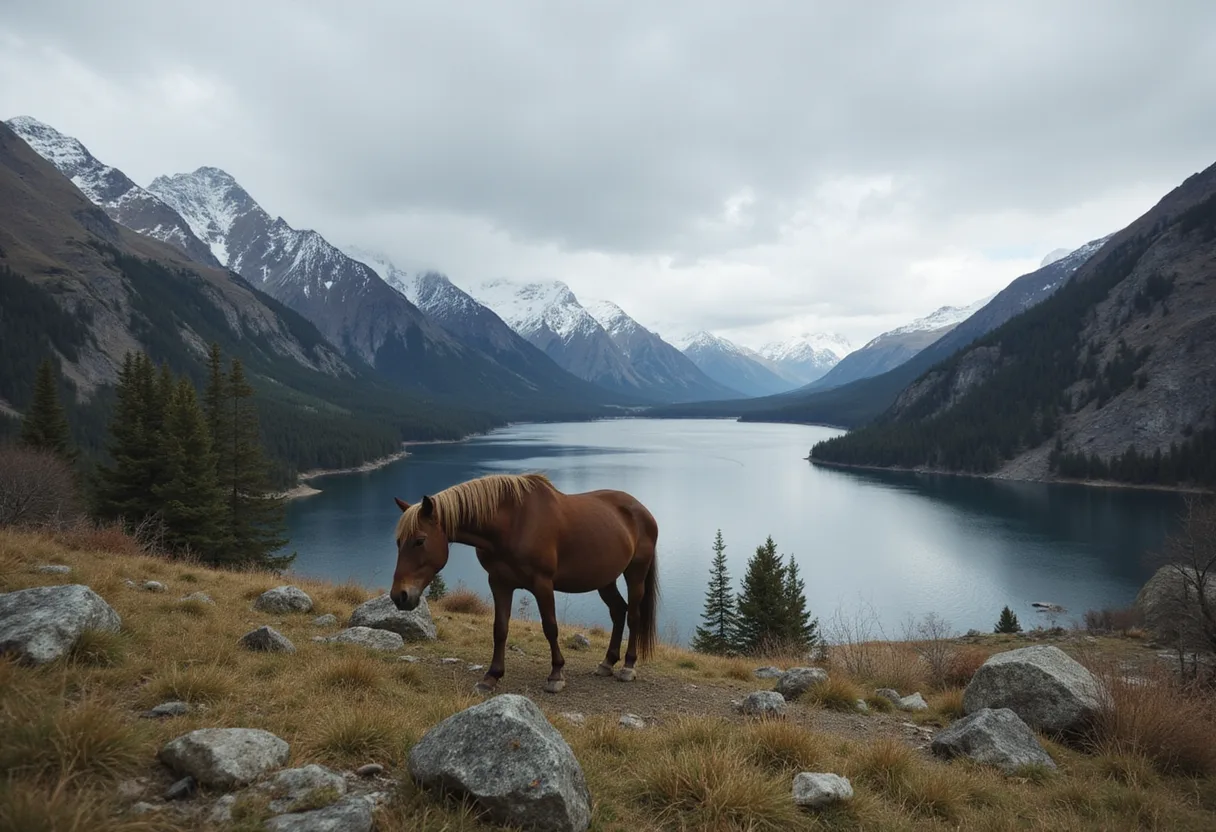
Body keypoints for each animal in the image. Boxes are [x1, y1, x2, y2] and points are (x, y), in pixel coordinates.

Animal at [389, 472, 660, 694]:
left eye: (420, 540)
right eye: (398, 541)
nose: (399, 596)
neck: (513, 523)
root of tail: (642, 510)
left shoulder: (542, 584)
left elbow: (550, 627)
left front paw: (556, 675)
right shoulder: (499, 583)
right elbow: (500, 628)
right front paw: (491, 677)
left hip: (635, 573)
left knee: (633, 615)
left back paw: (628, 666)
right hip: (605, 578)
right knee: (618, 611)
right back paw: (607, 663)